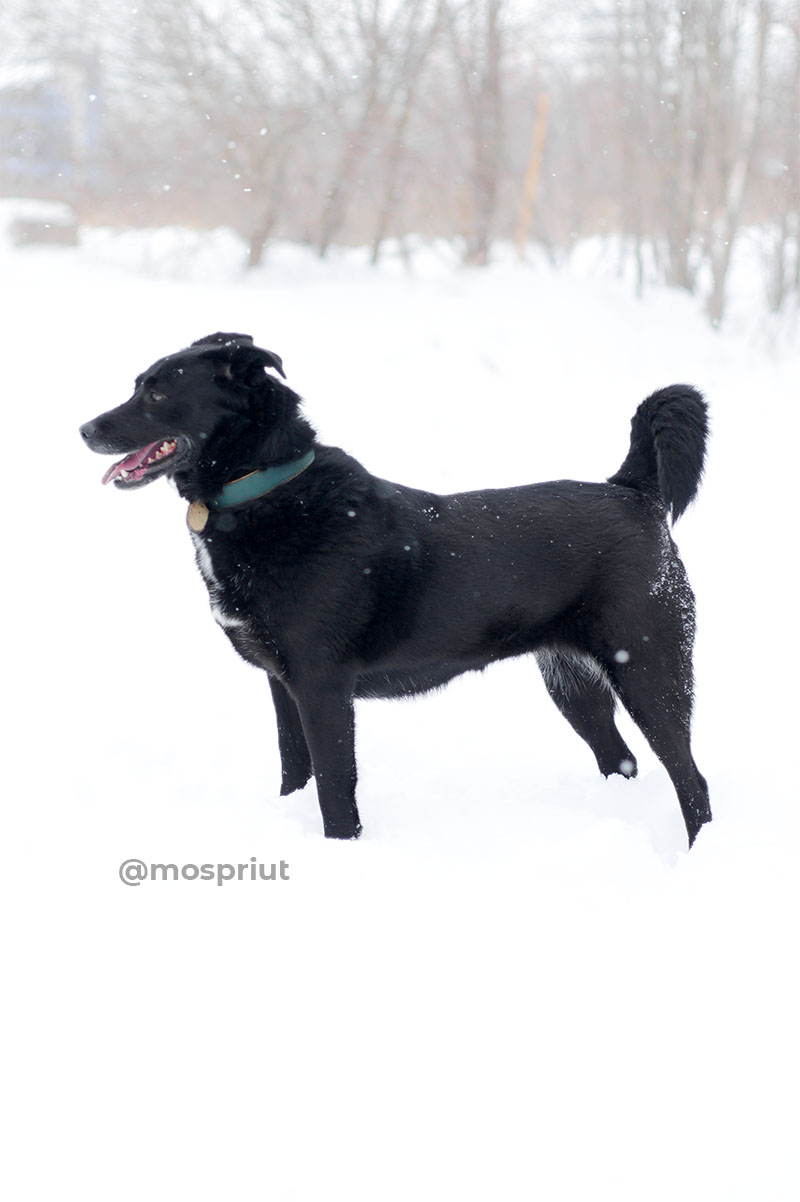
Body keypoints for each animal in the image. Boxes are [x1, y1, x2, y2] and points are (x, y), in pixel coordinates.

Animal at [78, 331, 706, 846]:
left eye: (158, 393)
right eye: (138, 385)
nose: (84, 429)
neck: (269, 491)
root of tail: (631, 490)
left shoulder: (323, 686)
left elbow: (335, 789)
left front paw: (340, 848)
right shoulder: (282, 685)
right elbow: (294, 772)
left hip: (649, 671)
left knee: (691, 779)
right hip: (575, 685)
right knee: (622, 761)